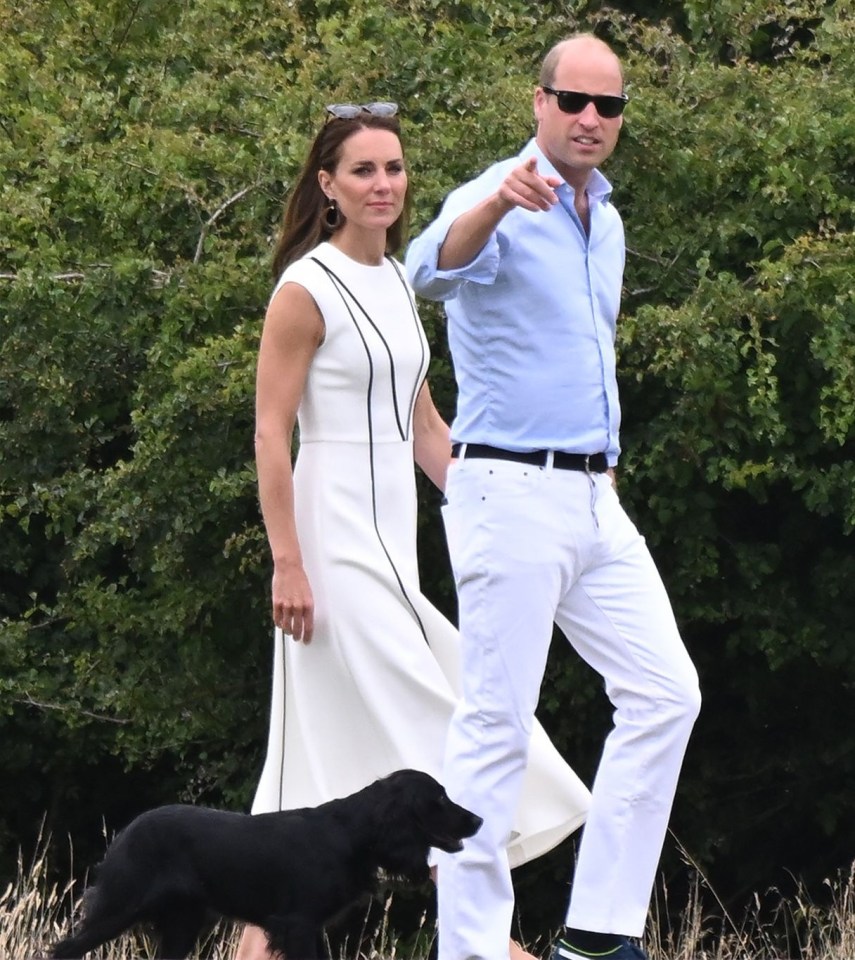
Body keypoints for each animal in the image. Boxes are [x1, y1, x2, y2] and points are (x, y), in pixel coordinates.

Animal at [51, 768, 482, 960]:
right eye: (439, 798)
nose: (478, 820)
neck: (351, 833)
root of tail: (125, 832)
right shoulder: (298, 924)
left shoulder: (306, 926)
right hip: (118, 908)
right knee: (63, 950)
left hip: (182, 924)